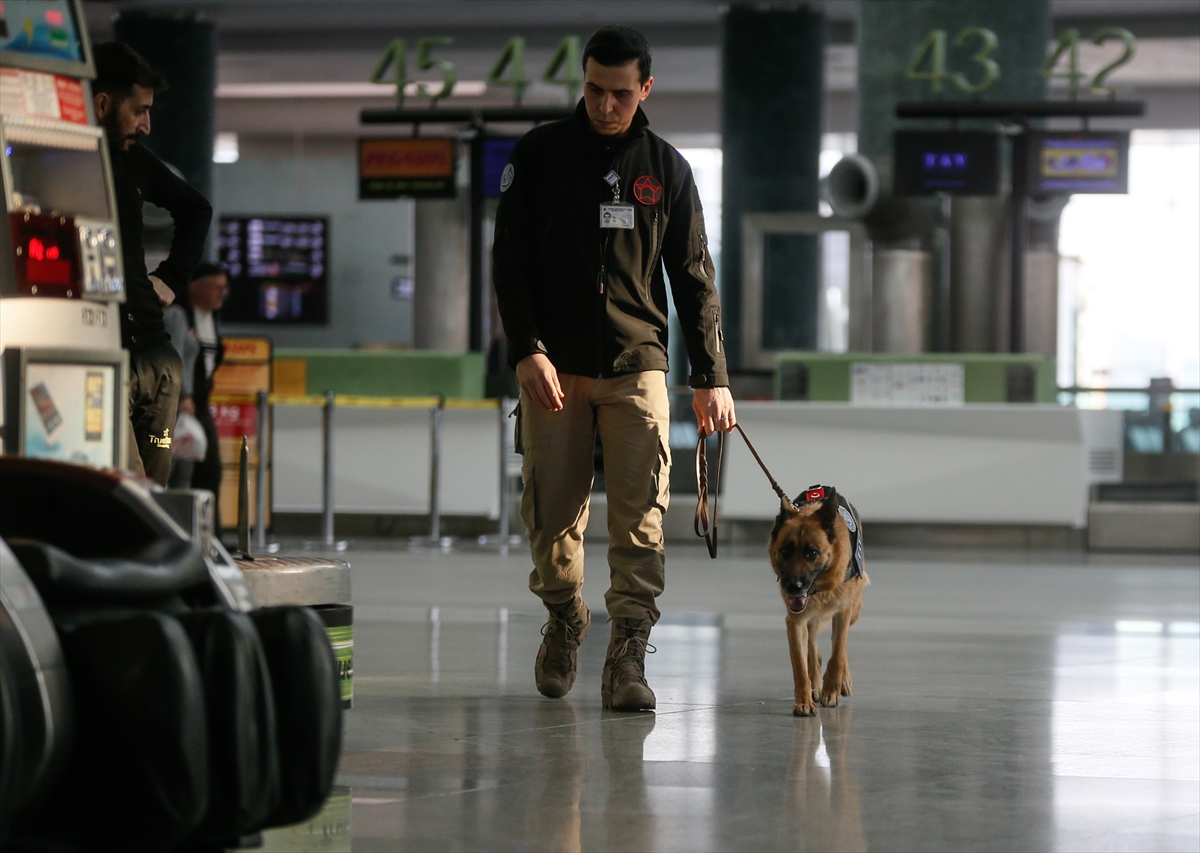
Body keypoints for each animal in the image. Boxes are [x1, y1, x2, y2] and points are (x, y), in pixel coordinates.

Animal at [768, 487, 873, 715]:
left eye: (812, 553)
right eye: (785, 551)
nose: (793, 587)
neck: (821, 588)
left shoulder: (843, 612)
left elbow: (838, 652)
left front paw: (832, 690)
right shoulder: (795, 621)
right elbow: (800, 664)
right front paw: (804, 701)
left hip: (854, 611)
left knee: (839, 644)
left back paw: (842, 680)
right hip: (810, 620)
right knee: (812, 648)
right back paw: (815, 684)